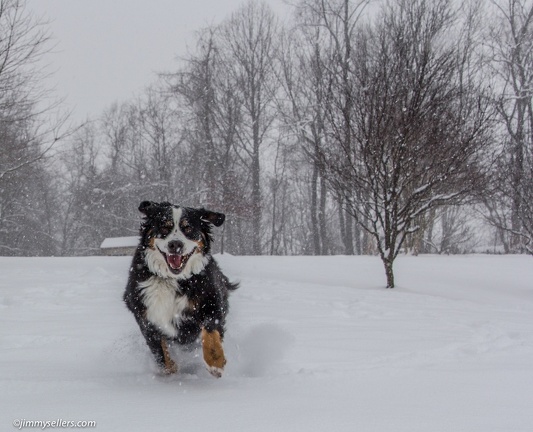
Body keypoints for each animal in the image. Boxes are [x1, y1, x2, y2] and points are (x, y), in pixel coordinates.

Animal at [123, 201, 238, 376]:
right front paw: (170, 368)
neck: (172, 279)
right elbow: (160, 352)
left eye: (188, 228)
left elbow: (211, 332)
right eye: (164, 227)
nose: (175, 244)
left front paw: (216, 361)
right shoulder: (145, 316)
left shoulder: (211, 302)